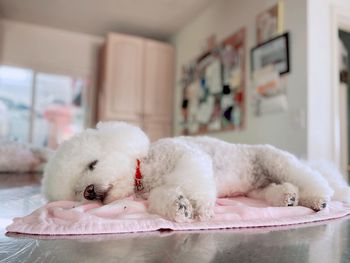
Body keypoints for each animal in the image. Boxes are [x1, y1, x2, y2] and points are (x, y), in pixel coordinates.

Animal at [42, 121, 350, 223]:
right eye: (75, 192)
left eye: (92, 164)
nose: (88, 192)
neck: (147, 172)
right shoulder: (154, 191)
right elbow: (163, 199)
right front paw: (179, 207)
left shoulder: (188, 156)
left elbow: (193, 181)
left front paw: (201, 209)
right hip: (257, 189)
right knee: (276, 191)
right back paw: (288, 197)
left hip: (277, 161)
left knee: (312, 178)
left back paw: (317, 198)